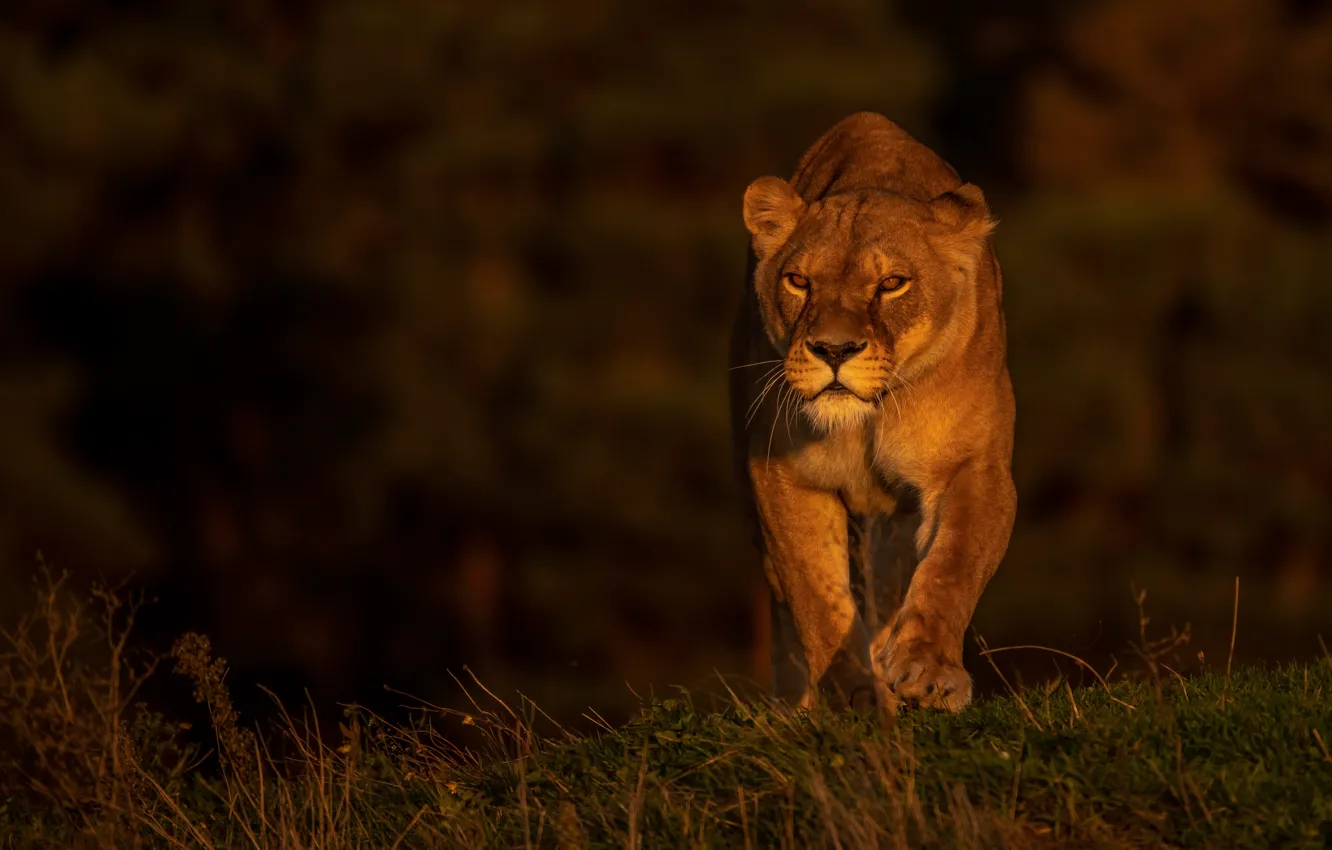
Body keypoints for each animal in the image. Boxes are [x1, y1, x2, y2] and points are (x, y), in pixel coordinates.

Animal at [730, 112, 1016, 712]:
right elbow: (817, 595)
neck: (868, 419)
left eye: (891, 284)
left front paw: (927, 670)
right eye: (799, 281)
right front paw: (849, 697)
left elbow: (952, 566)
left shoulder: (975, 467)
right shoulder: (780, 473)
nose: (833, 350)